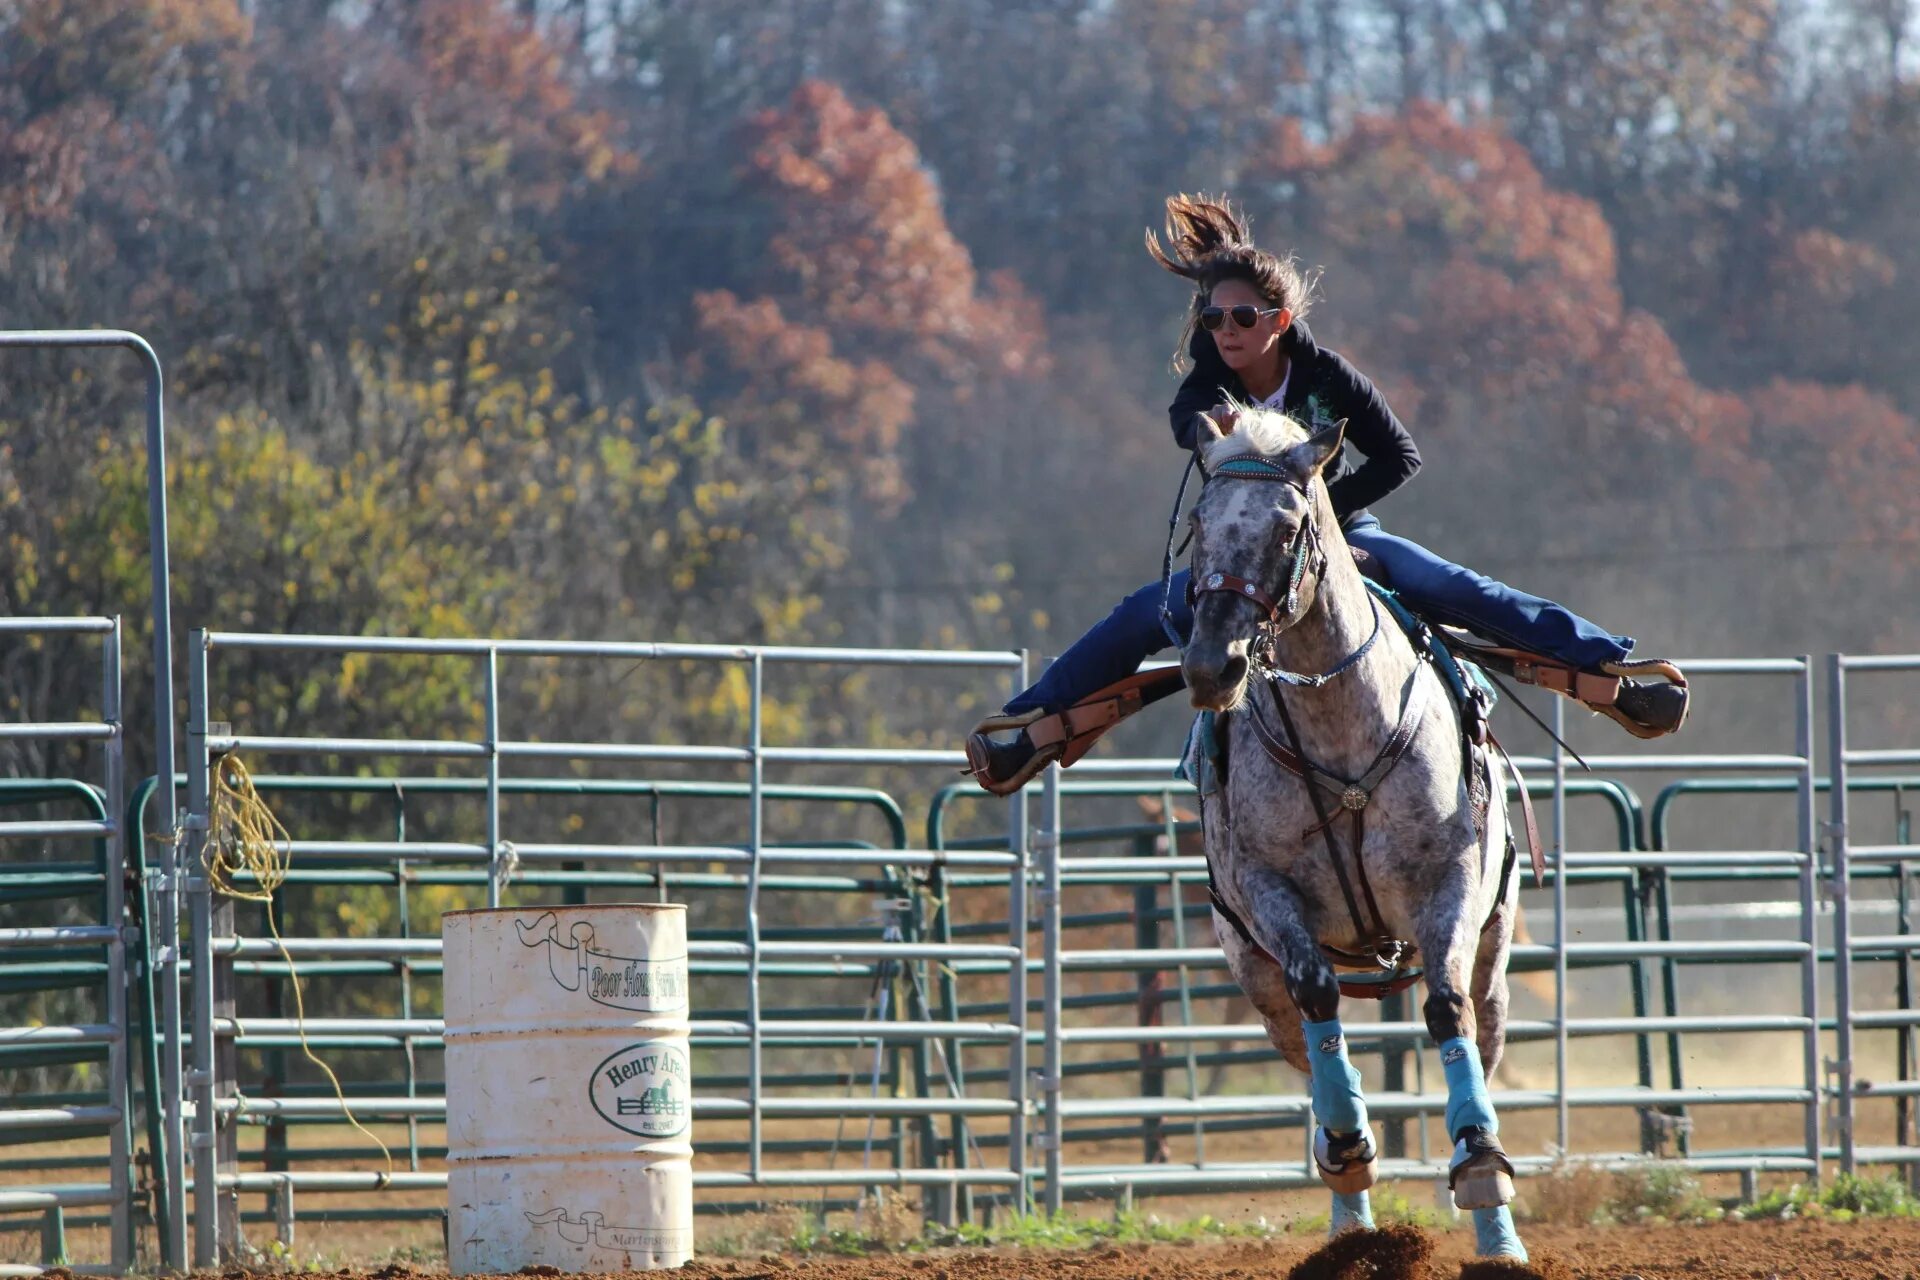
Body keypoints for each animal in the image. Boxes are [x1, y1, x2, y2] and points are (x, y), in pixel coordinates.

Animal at [1182, 404, 1528, 1258]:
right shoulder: (1269, 896)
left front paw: (1483, 1178)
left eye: (1287, 528)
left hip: (1496, 954)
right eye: (1198, 524)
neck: (1340, 731)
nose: (1212, 666)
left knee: (1479, 1024)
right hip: (1253, 977)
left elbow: (1445, 1010)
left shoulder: (1449, 885)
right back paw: (1349, 1221)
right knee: (1306, 1043)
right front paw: (1347, 1149)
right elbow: (1320, 1002)